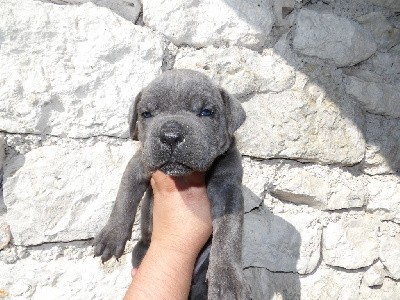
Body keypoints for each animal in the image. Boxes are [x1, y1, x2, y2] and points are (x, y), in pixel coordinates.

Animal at [94, 69, 247, 298]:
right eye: (146, 114)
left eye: (206, 112)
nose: (171, 136)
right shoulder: (138, 165)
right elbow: (124, 200)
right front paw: (111, 236)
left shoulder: (228, 189)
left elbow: (229, 231)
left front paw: (227, 279)